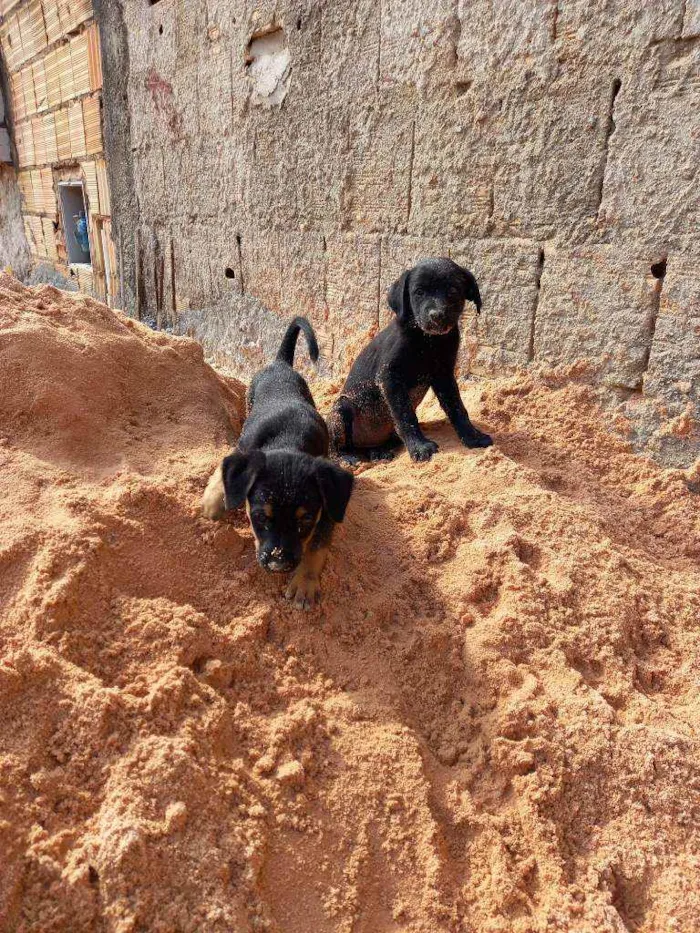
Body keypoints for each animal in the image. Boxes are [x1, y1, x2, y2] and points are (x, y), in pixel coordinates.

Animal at [202, 318, 356, 612]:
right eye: (260, 517)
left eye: (305, 520)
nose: (278, 564)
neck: (289, 440)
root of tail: (280, 363)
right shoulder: (243, 447)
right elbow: (223, 468)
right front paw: (212, 503)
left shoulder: (329, 507)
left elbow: (317, 546)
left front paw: (304, 584)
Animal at [328, 255, 492, 462]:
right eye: (419, 292)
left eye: (453, 291)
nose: (437, 316)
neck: (428, 341)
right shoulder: (389, 377)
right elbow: (405, 415)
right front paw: (419, 447)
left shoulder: (444, 375)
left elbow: (457, 408)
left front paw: (472, 436)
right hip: (341, 409)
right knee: (334, 447)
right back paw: (346, 457)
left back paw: (378, 451)